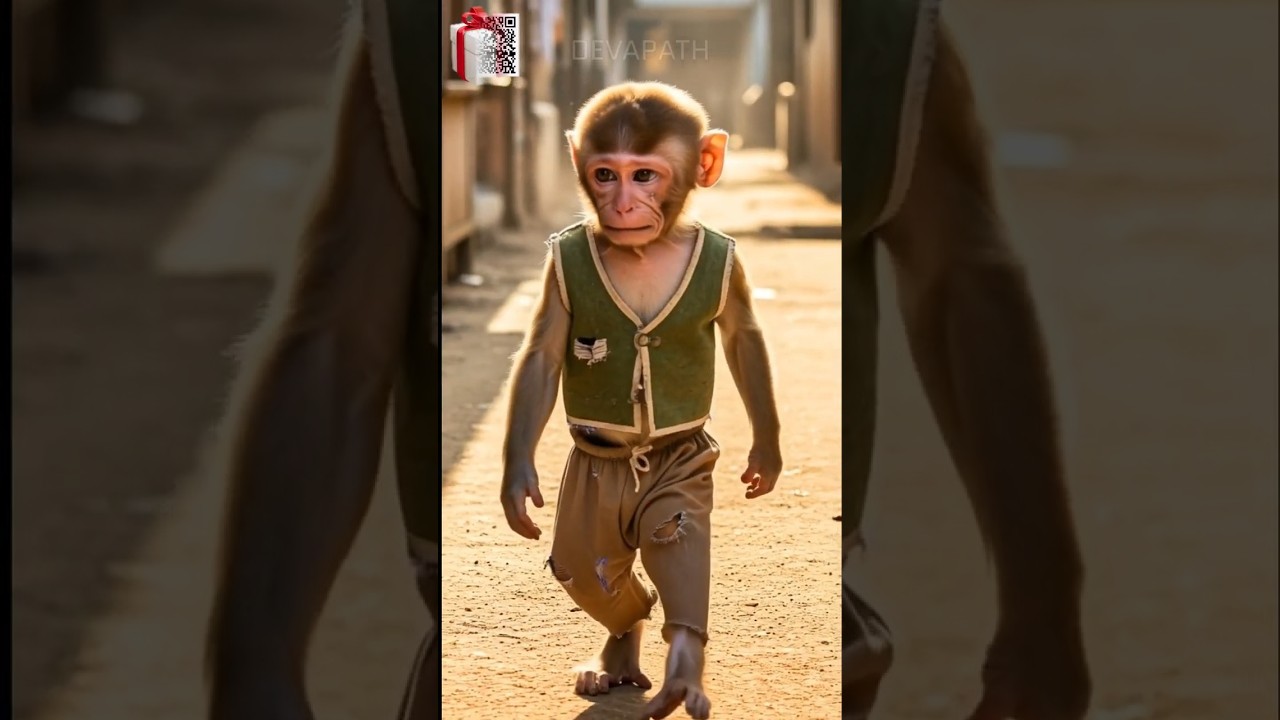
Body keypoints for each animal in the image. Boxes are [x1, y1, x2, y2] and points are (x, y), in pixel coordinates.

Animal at [497, 81, 784, 720]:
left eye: (645, 176)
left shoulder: (732, 275)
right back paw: (618, 659)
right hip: (586, 520)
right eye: (605, 174)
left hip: (676, 477)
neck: (647, 247)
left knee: (662, 546)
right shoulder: (556, 278)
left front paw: (766, 460)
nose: (624, 205)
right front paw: (517, 486)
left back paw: (679, 671)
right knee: (591, 573)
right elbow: (541, 356)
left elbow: (744, 338)